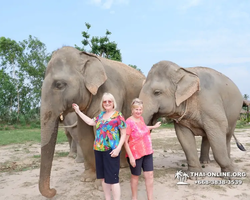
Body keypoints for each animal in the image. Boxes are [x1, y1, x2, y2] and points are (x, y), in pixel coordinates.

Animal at [38, 46, 146, 198]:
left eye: (59, 85)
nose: (54, 191)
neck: (86, 57)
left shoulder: (112, 90)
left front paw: (102, 185)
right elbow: (84, 134)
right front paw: (86, 179)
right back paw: (123, 167)